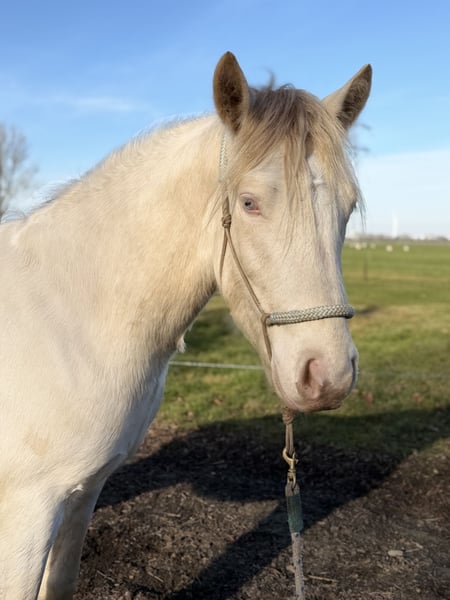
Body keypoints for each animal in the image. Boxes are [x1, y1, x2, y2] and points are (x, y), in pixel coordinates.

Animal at [0, 52, 371, 599]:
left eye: (346, 207)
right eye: (249, 203)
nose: (328, 375)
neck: (67, 319)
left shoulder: (83, 491)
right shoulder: (29, 510)